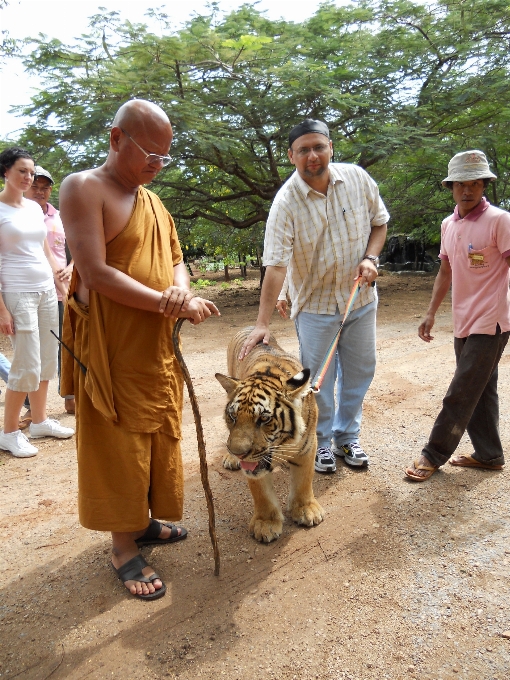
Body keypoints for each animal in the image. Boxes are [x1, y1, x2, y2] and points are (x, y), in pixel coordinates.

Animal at [214, 326, 322, 544]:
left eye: (263, 419)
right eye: (233, 416)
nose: (238, 453)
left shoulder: (308, 446)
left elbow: (304, 481)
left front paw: (306, 510)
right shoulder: (254, 464)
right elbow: (261, 493)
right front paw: (266, 524)